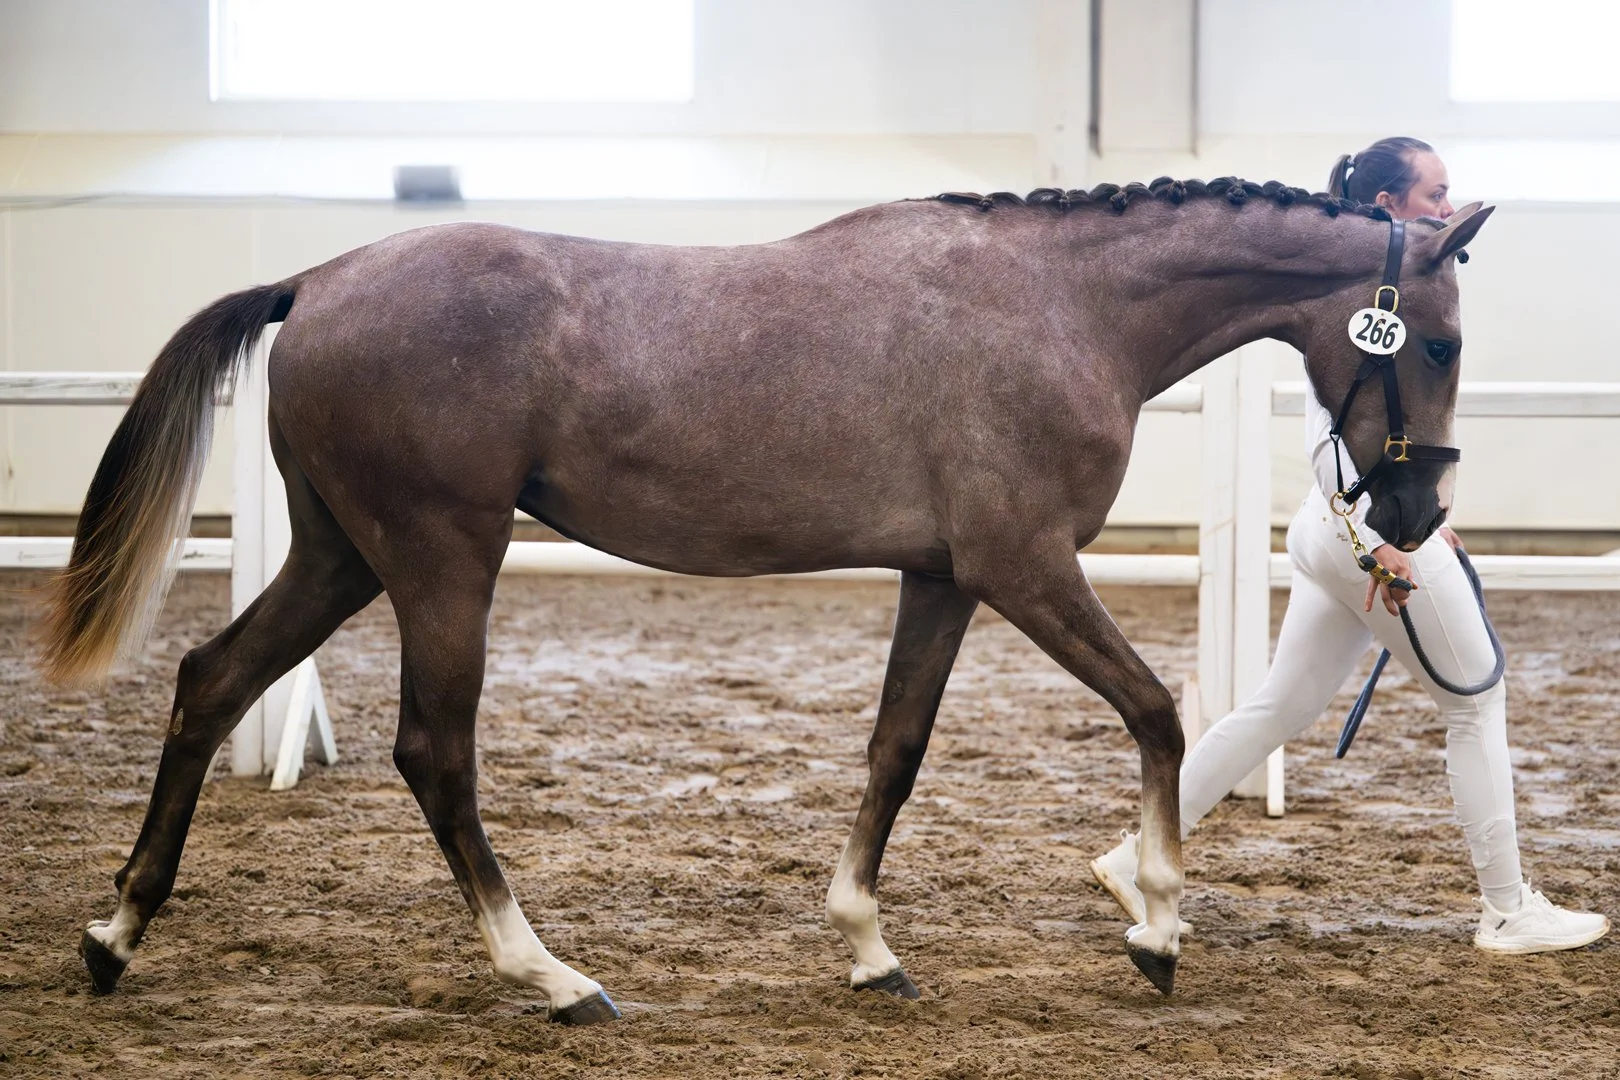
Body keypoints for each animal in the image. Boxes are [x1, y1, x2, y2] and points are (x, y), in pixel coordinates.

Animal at [38, 176, 1492, 1024]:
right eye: (1439, 338)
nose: (1415, 518)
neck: (1058, 306)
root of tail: (320, 281)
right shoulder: (1026, 568)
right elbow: (1156, 717)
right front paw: (1158, 928)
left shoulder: (944, 581)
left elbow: (897, 750)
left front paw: (866, 946)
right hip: (443, 559)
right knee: (431, 749)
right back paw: (551, 976)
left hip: (346, 555)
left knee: (213, 683)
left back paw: (115, 936)